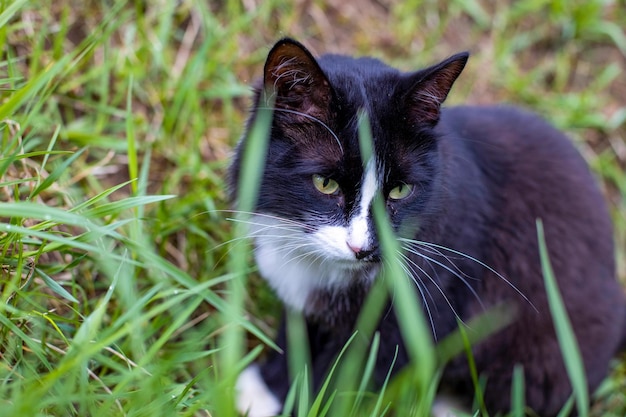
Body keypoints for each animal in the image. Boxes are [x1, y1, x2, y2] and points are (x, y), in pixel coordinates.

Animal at [228, 37, 624, 414]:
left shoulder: (421, 305)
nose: (364, 248)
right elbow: (297, 333)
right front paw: (265, 389)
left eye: (400, 190)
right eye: (325, 183)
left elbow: (342, 374)